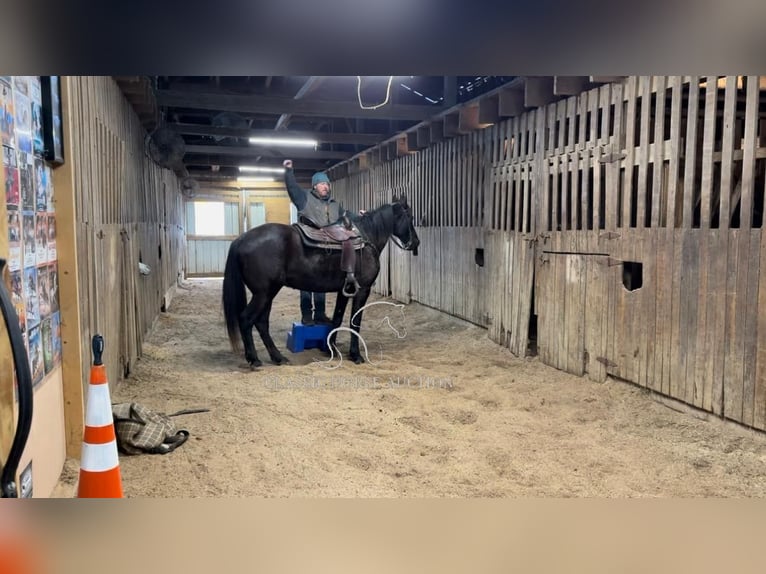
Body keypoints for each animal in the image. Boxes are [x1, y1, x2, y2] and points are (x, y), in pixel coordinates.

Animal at [222, 196, 424, 368]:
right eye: (410, 216)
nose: (416, 243)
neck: (367, 239)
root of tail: (241, 239)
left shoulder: (345, 290)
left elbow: (337, 318)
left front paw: (330, 348)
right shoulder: (362, 290)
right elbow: (355, 321)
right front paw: (356, 355)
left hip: (269, 293)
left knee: (262, 323)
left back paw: (278, 357)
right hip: (263, 293)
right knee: (246, 319)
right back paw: (254, 359)